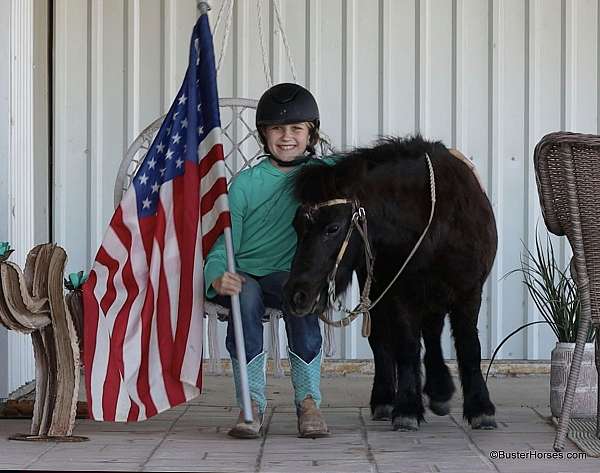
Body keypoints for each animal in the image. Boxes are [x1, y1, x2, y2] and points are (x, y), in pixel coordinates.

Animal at [284, 135, 500, 430]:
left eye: (332, 228)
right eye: (297, 226)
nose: (297, 295)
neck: (435, 223)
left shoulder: (468, 291)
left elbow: (469, 345)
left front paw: (480, 407)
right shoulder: (400, 293)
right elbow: (406, 347)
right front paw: (407, 408)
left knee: (432, 332)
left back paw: (439, 391)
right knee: (384, 340)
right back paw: (387, 399)